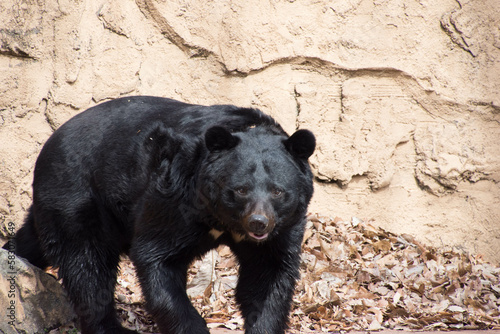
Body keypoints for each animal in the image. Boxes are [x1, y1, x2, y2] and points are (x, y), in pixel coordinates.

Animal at [3, 96, 314, 334]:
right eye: (240, 190)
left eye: (278, 191)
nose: (259, 223)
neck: (222, 220)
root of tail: (49, 141)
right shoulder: (175, 195)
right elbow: (156, 255)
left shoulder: (285, 226)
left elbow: (267, 275)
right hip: (77, 195)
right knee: (87, 266)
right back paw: (111, 327)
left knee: (36, 240)